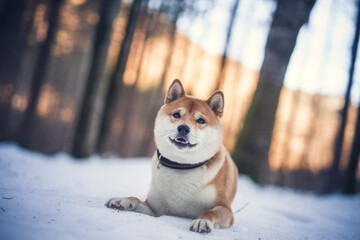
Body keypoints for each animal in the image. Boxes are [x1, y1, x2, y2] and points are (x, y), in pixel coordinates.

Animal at [105, 79, 238, 233]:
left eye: (200, 120)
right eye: (176, 115)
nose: (183, 128)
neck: (181, 166)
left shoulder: (225, 208)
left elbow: (211, 212)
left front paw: (203, 221)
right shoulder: (155, 208)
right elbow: (136, 200)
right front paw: (122, 200)